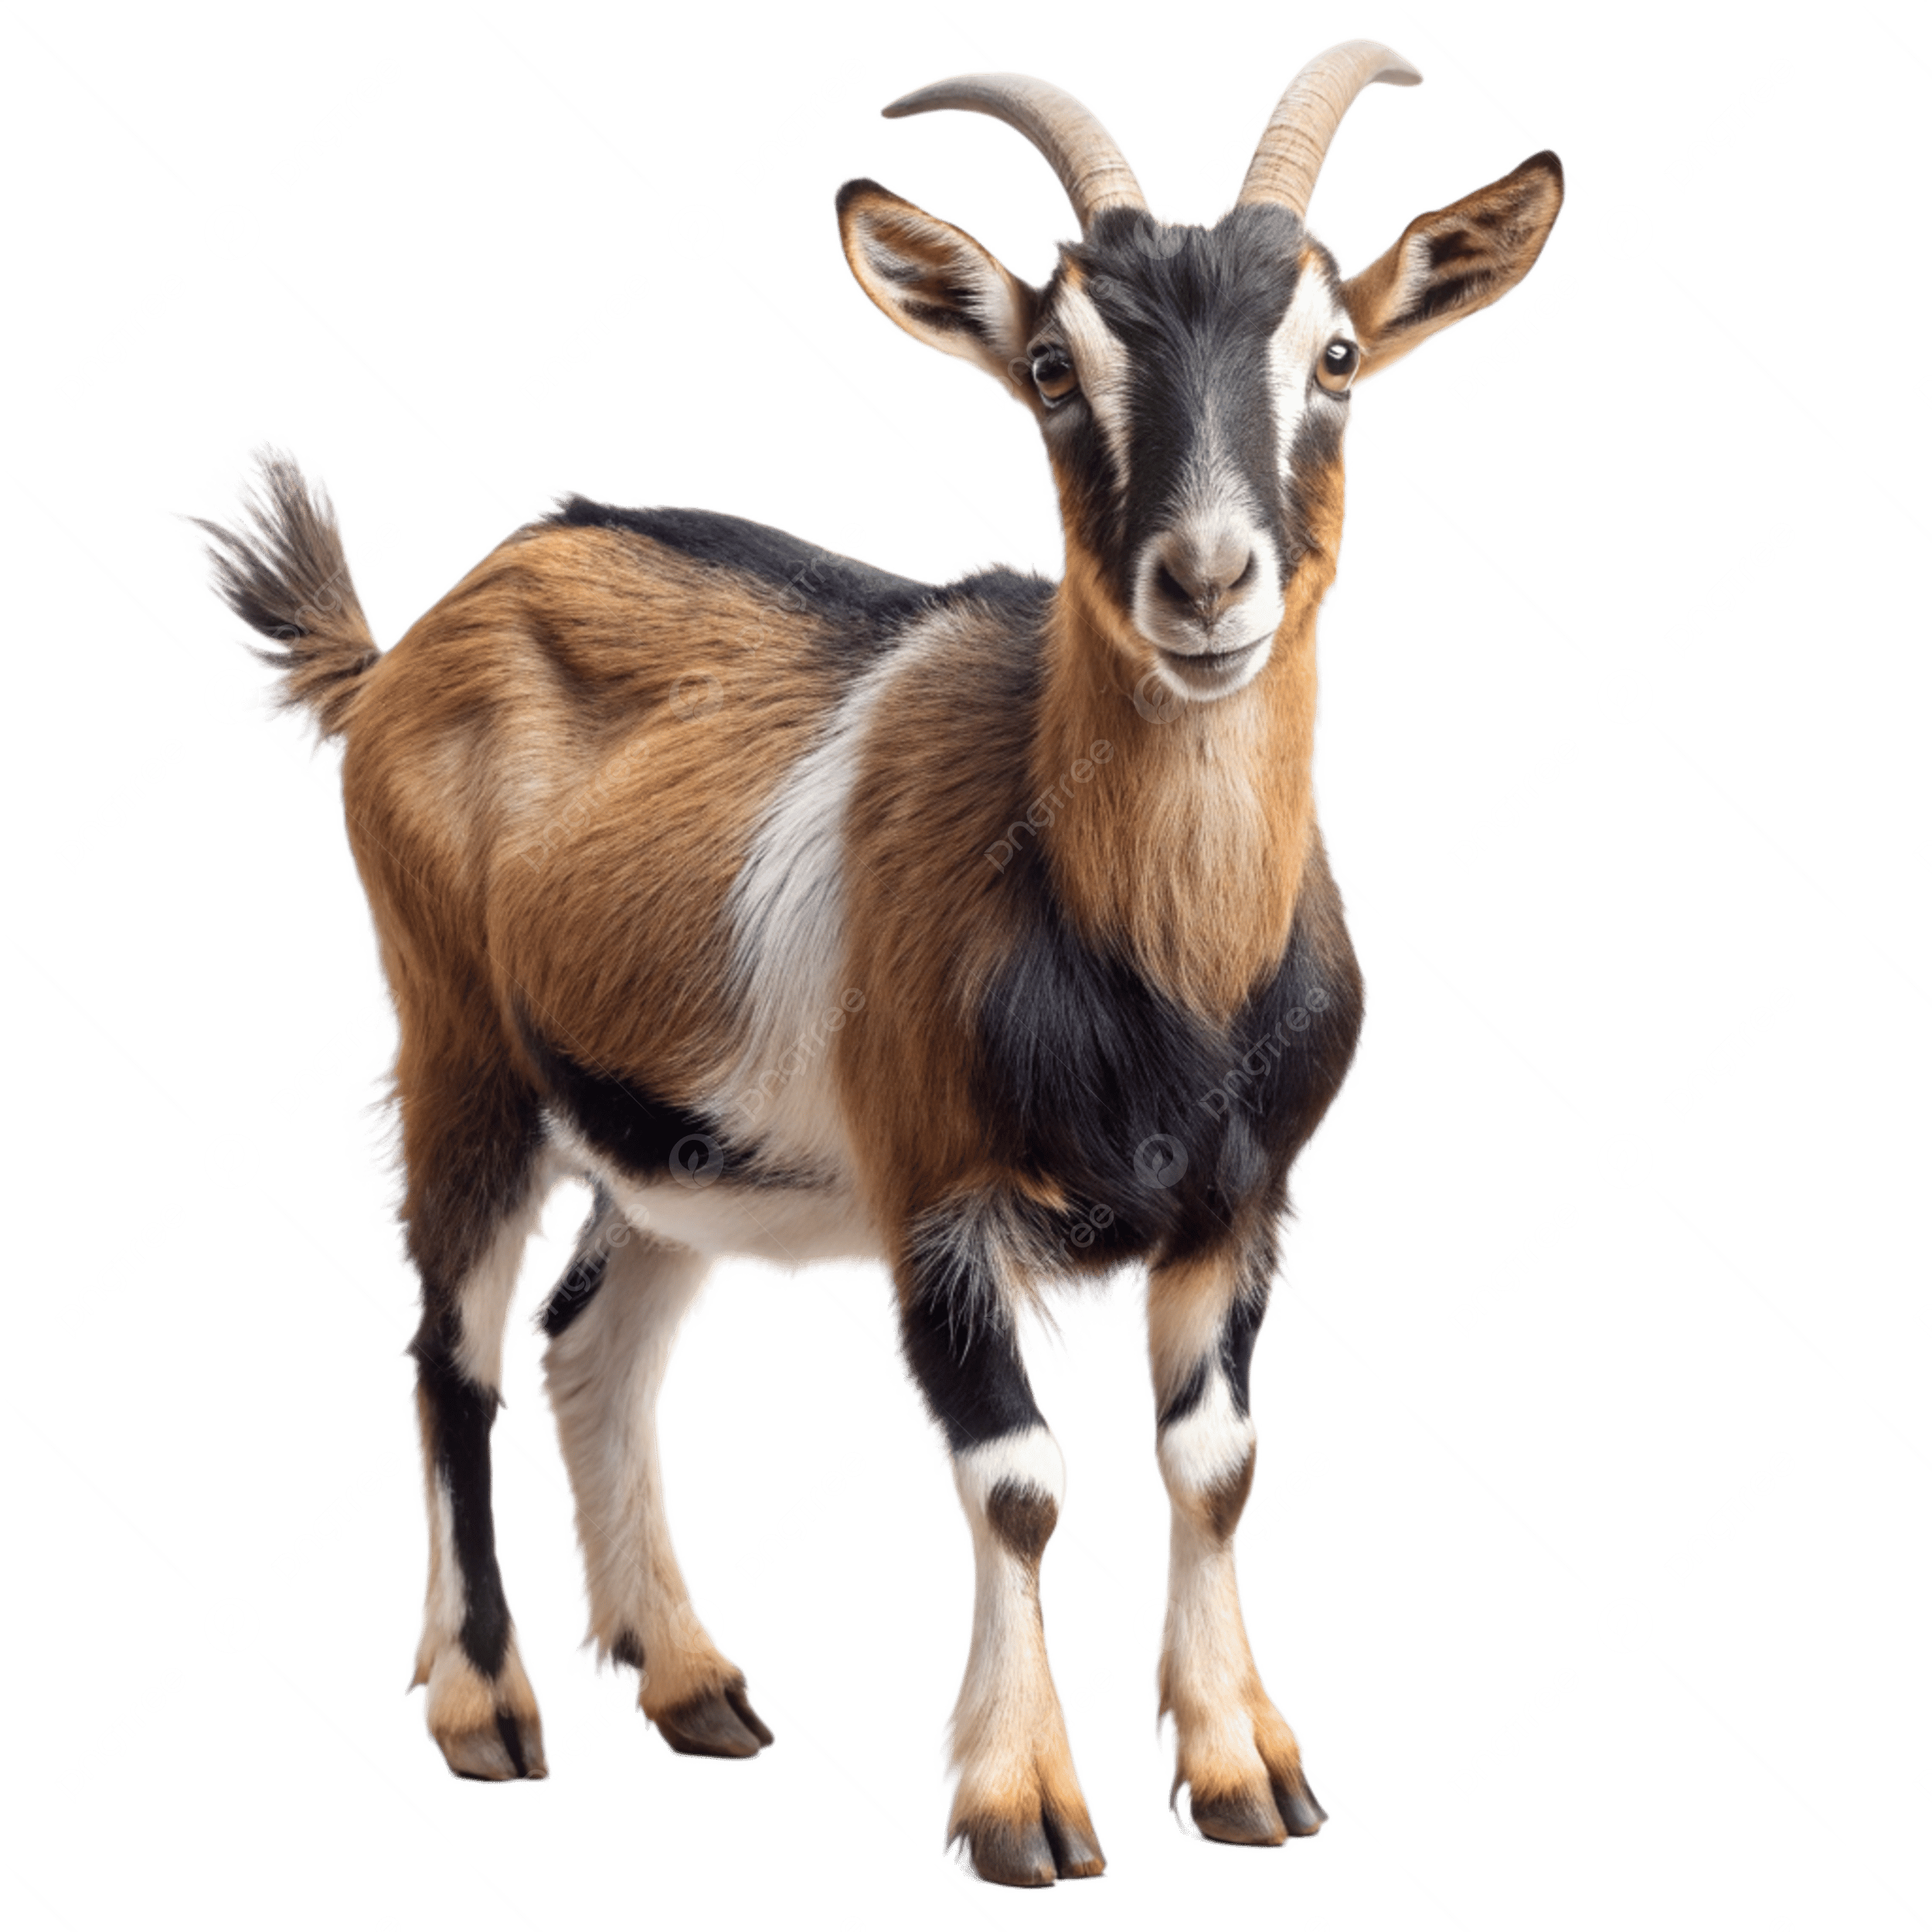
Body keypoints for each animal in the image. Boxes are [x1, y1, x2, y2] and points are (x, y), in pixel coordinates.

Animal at [164, 36, 1563, 1891]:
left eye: (1335, 353)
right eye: (1050, 364)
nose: (1204, 583)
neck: (1161, 978)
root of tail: (406, 645)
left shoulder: (1243, 1205)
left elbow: (1212, 1458)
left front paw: (1247, 1774)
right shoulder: (935, 1194)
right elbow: (1018, 1478)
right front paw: (1020, 1806)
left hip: (689, 1142)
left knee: (590, 1337)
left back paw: (690, 1685)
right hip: (459, 1036)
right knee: (450, 1350)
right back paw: (485, 1712)